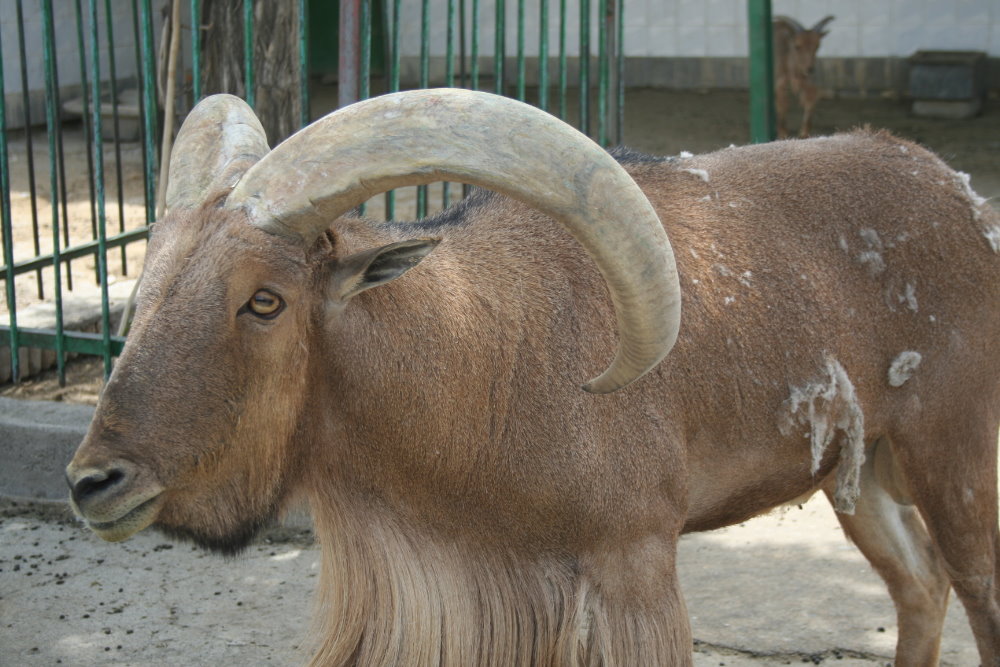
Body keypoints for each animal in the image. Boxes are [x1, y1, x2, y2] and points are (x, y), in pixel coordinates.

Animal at [67, 88, 1000, 666]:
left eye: (265, 299)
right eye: (148, 287)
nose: (94, 481)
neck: (480, 366)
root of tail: (958, 193)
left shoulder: (632, 562)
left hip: (952, 449)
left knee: (976, 591)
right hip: (862, 467)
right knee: (920, 585)